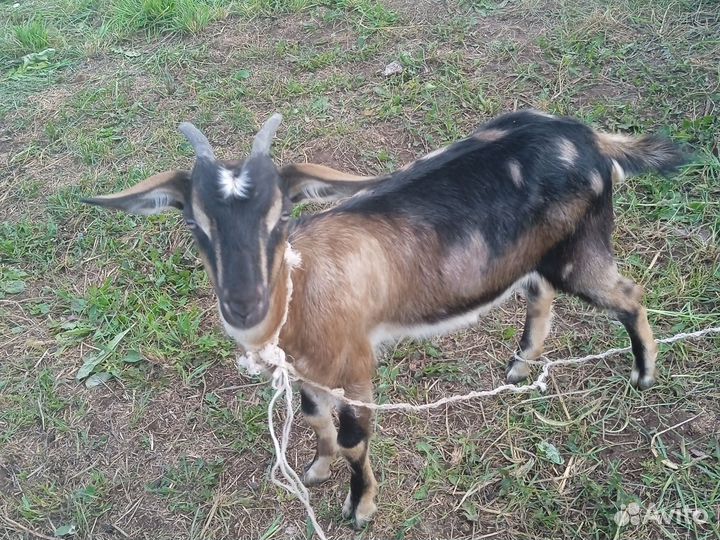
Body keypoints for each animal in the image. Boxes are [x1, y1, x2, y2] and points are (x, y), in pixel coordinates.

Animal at [82, 109, 685, 528]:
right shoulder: (309, 373)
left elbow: (356, 439)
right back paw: (519, 367)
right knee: (539, 294)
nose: (243, 303)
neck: (306, 289)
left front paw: (361, 508)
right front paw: (316, 469)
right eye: (194, 223)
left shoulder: (355, 366)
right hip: (531, 255)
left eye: (282, 215)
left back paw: (643, 374)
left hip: (579, 247)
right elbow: (312, 418)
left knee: (628, 294)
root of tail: (589, 138)